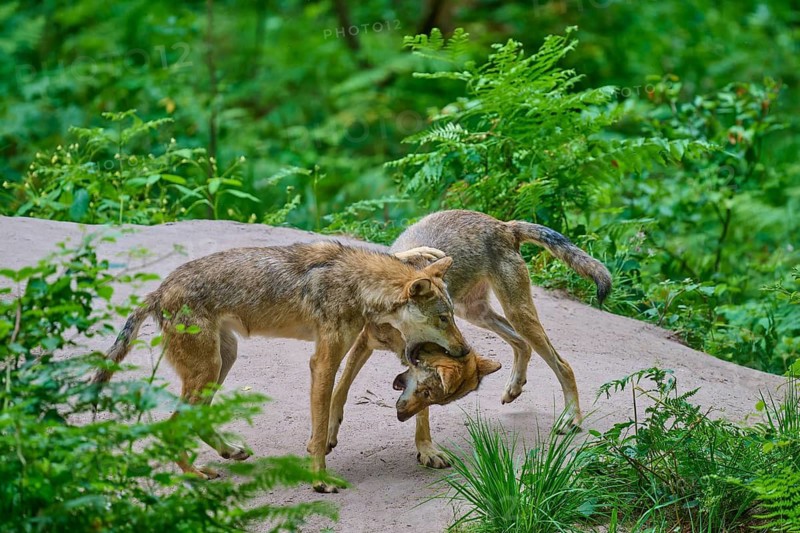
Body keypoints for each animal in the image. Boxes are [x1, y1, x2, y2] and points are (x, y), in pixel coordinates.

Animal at [92, 240, 471, 493]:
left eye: (453, 316)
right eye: (443, 318)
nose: (465, 350)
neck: (357, 285)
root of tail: (157, 291)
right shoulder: (323, 363)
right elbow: (319, 429)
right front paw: (320, 480)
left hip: (222, 362)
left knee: (194, 419)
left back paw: (228, 453)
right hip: (208, 370)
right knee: (172, 425)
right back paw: (195, 475)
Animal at [327, 210, 611, 467]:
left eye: (434, 396)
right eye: (442, 319)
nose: (464, 351)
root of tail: (504, 225)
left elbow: (422, 415)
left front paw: (426, 449)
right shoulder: (364, 344)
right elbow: (339, 390)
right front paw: (329, 431)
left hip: (512, 315)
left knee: (562, 365)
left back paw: (571, 418)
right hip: (478, 313)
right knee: (522, 344)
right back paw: (515, 387)